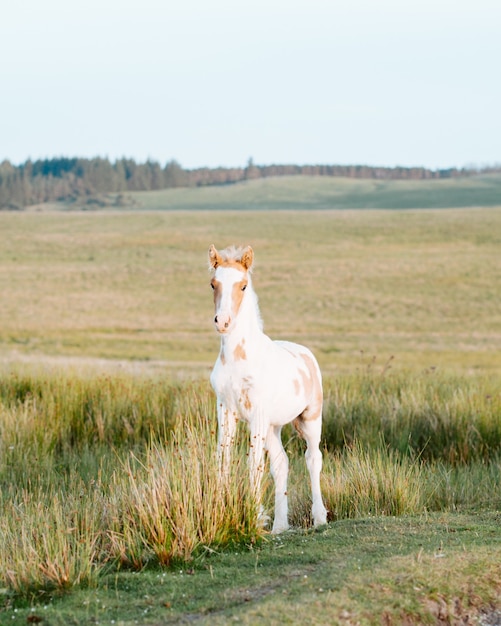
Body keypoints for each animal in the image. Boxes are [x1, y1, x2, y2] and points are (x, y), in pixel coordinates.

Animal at [208, 244, 328, 532]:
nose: (223, 322)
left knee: (313, 458)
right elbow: (223, 458)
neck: (239, 358)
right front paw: (222, 510)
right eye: (213, 284)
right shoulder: (226, 411)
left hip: (309, 419)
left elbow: (254, 464)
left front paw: (253, 516)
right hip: (274, 427)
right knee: (281, 463)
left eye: (242, 285)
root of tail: (306, 353)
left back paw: (319, 517)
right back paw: (280, 526)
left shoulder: (258, 415)